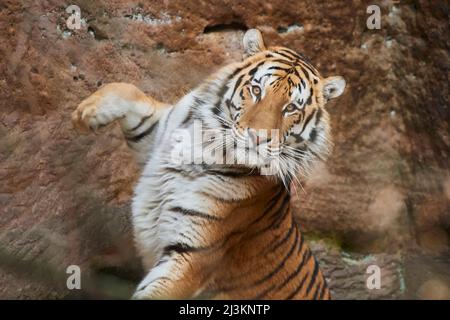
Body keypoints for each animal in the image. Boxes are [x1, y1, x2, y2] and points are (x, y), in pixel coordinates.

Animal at [71, 28, 344, 298]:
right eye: (257, 90)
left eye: (291, 108)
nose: (258, 137)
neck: (206, 142)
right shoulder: (159, 135)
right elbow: (127, 90)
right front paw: (86, 113)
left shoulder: (191, 255)